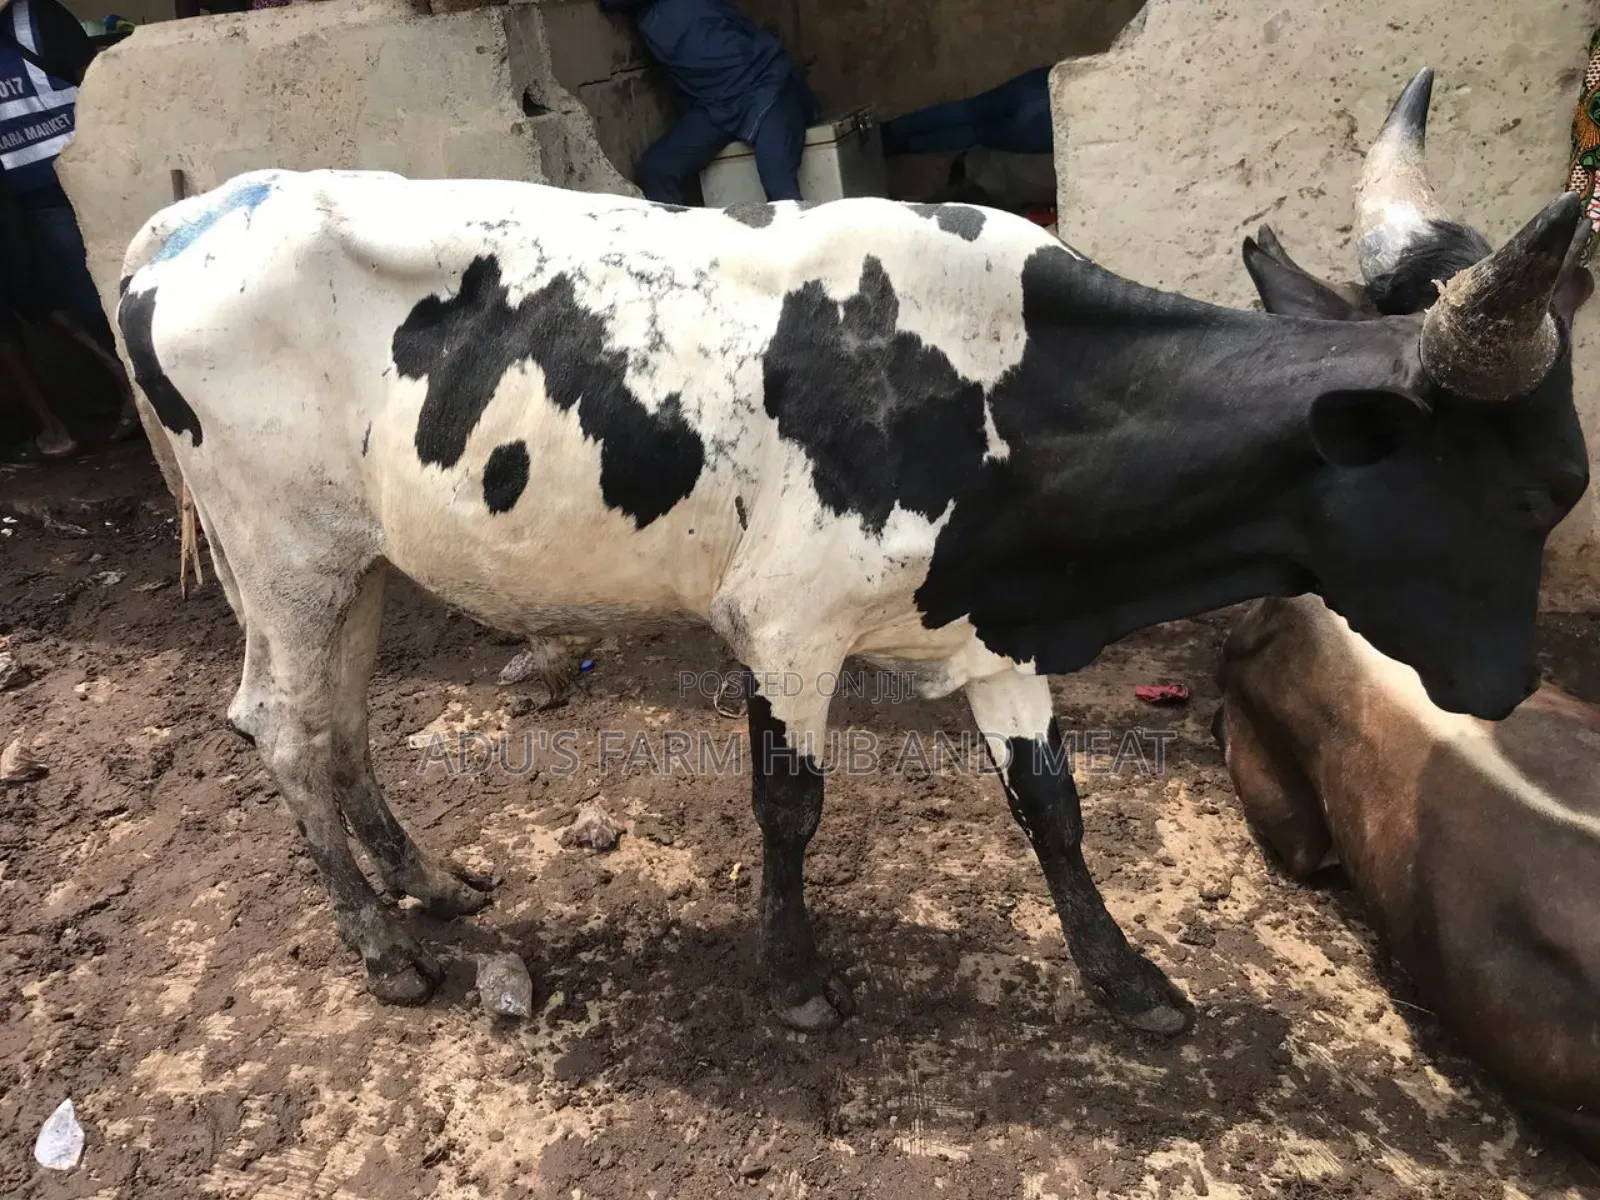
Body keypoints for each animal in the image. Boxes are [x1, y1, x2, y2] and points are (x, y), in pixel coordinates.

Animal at [113, 64, 1586, 1037]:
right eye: (1538, 496)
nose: (1516, 692)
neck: (1008, 397)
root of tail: (203, 214)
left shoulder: (995, 630)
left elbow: (1053, 806)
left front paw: (1126, 981)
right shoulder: (786, 627)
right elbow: (791, 803)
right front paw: (796, 980)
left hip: (351, 563)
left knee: (339, 719)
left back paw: (424, 881)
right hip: (284, 551)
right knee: (283, 724)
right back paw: (379, 947)